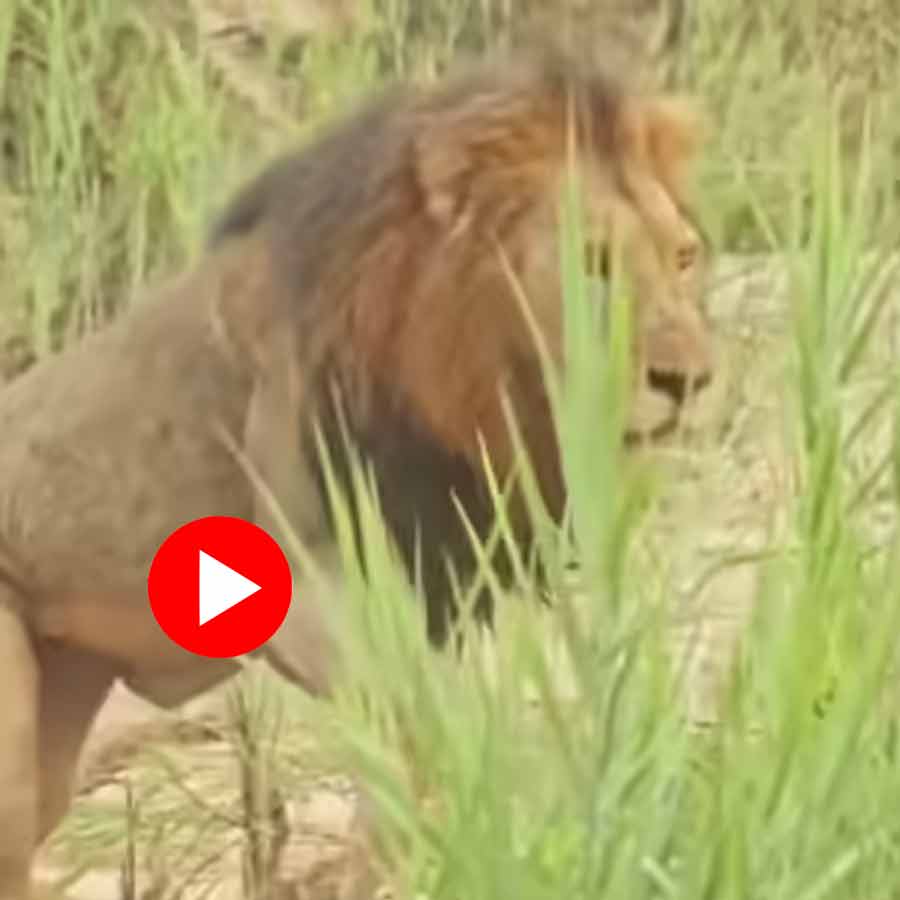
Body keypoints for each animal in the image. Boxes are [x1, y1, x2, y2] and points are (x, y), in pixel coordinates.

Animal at [0, 41, 713, 899]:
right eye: (593, 262)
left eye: (683, 257)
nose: (690, 379)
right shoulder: (307, 589)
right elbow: (410, 749)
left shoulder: (451, 579)